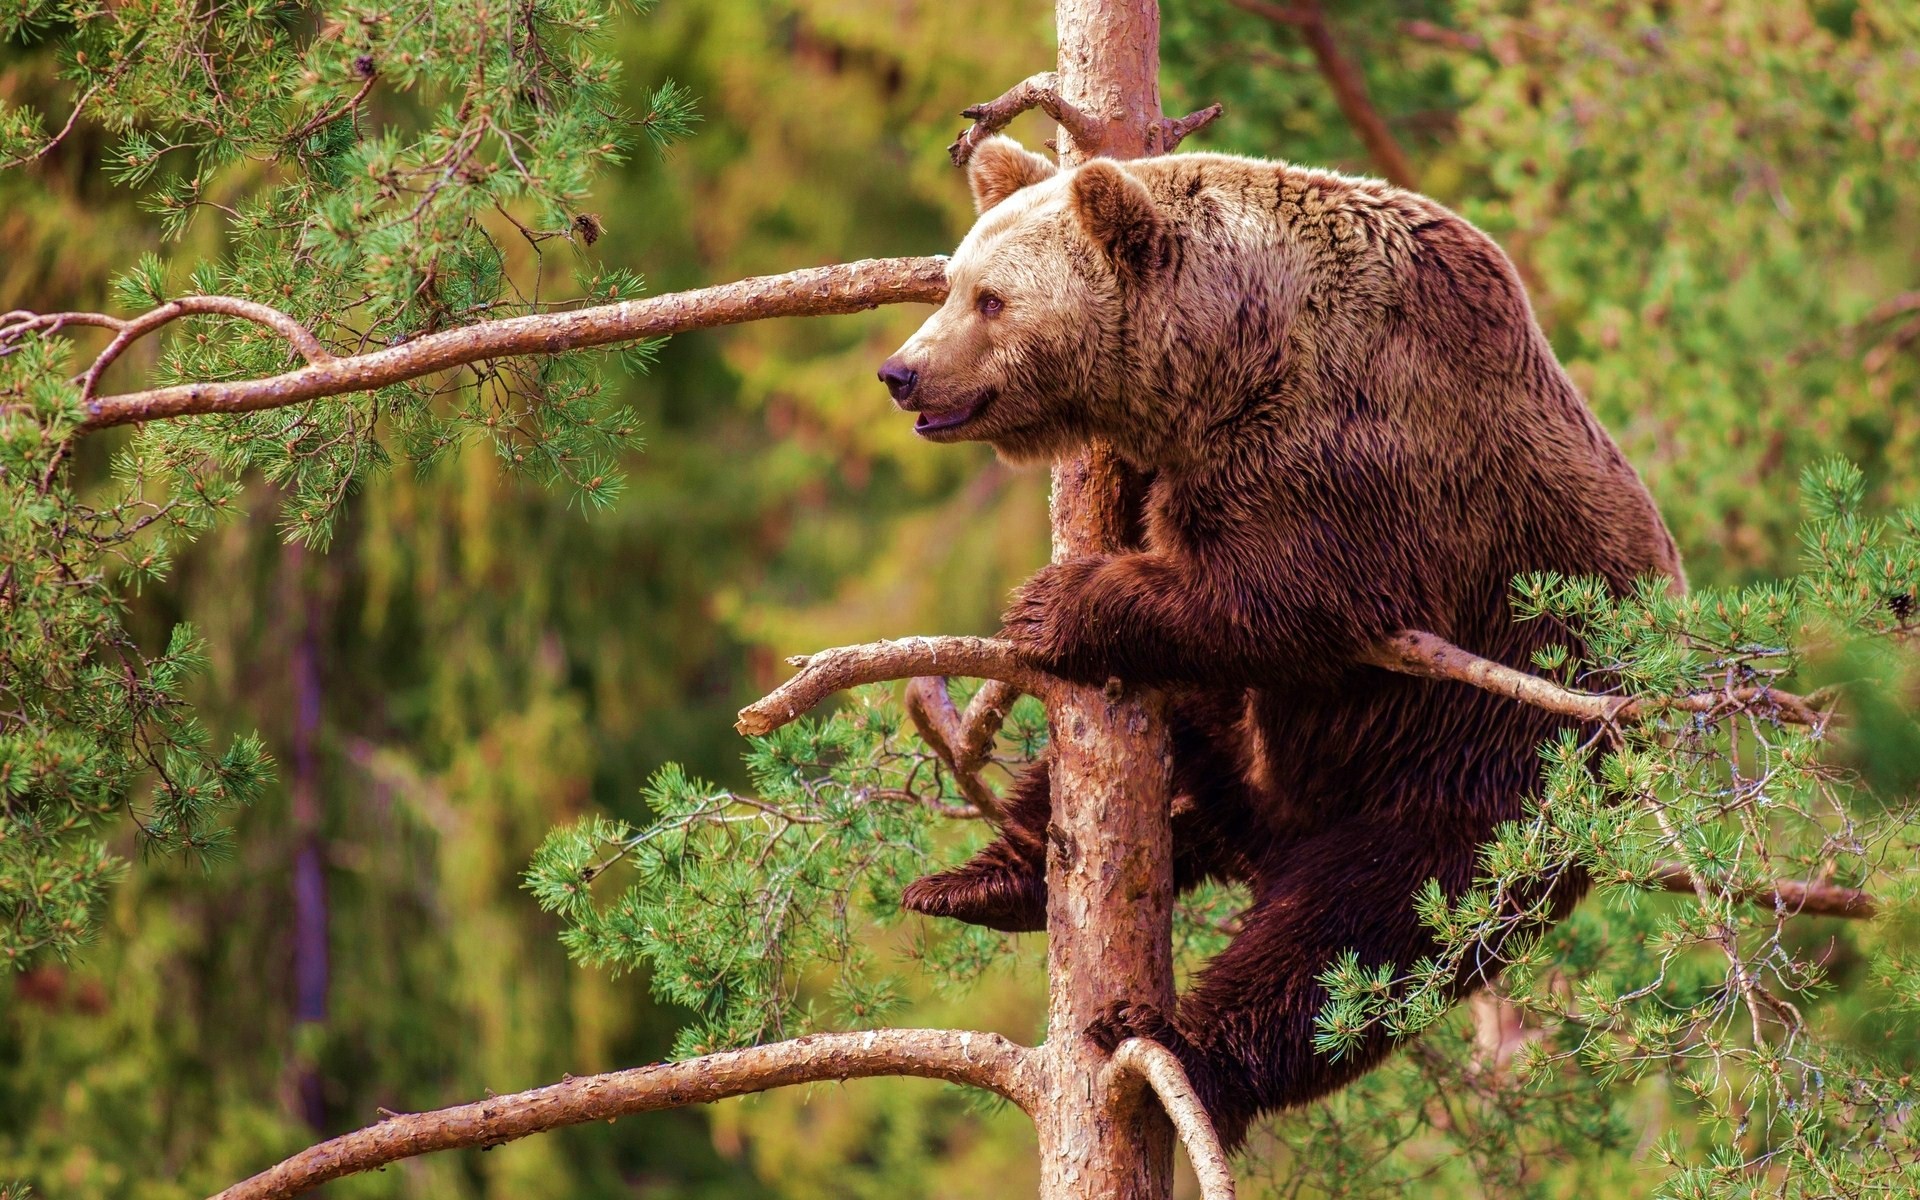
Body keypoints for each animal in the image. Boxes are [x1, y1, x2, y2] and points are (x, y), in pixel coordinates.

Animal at [879, 135, 1674, 1144]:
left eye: (991, 299)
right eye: (951, 283)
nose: (901, 371)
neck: (1232, 354)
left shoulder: (1356, 449)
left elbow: (1290, 595)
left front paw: (1052, 604)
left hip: (1491, 767)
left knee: (1358, 939)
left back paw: (1177, 1045)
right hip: (1264, 745)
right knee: (1147, 764)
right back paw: (984, 881)